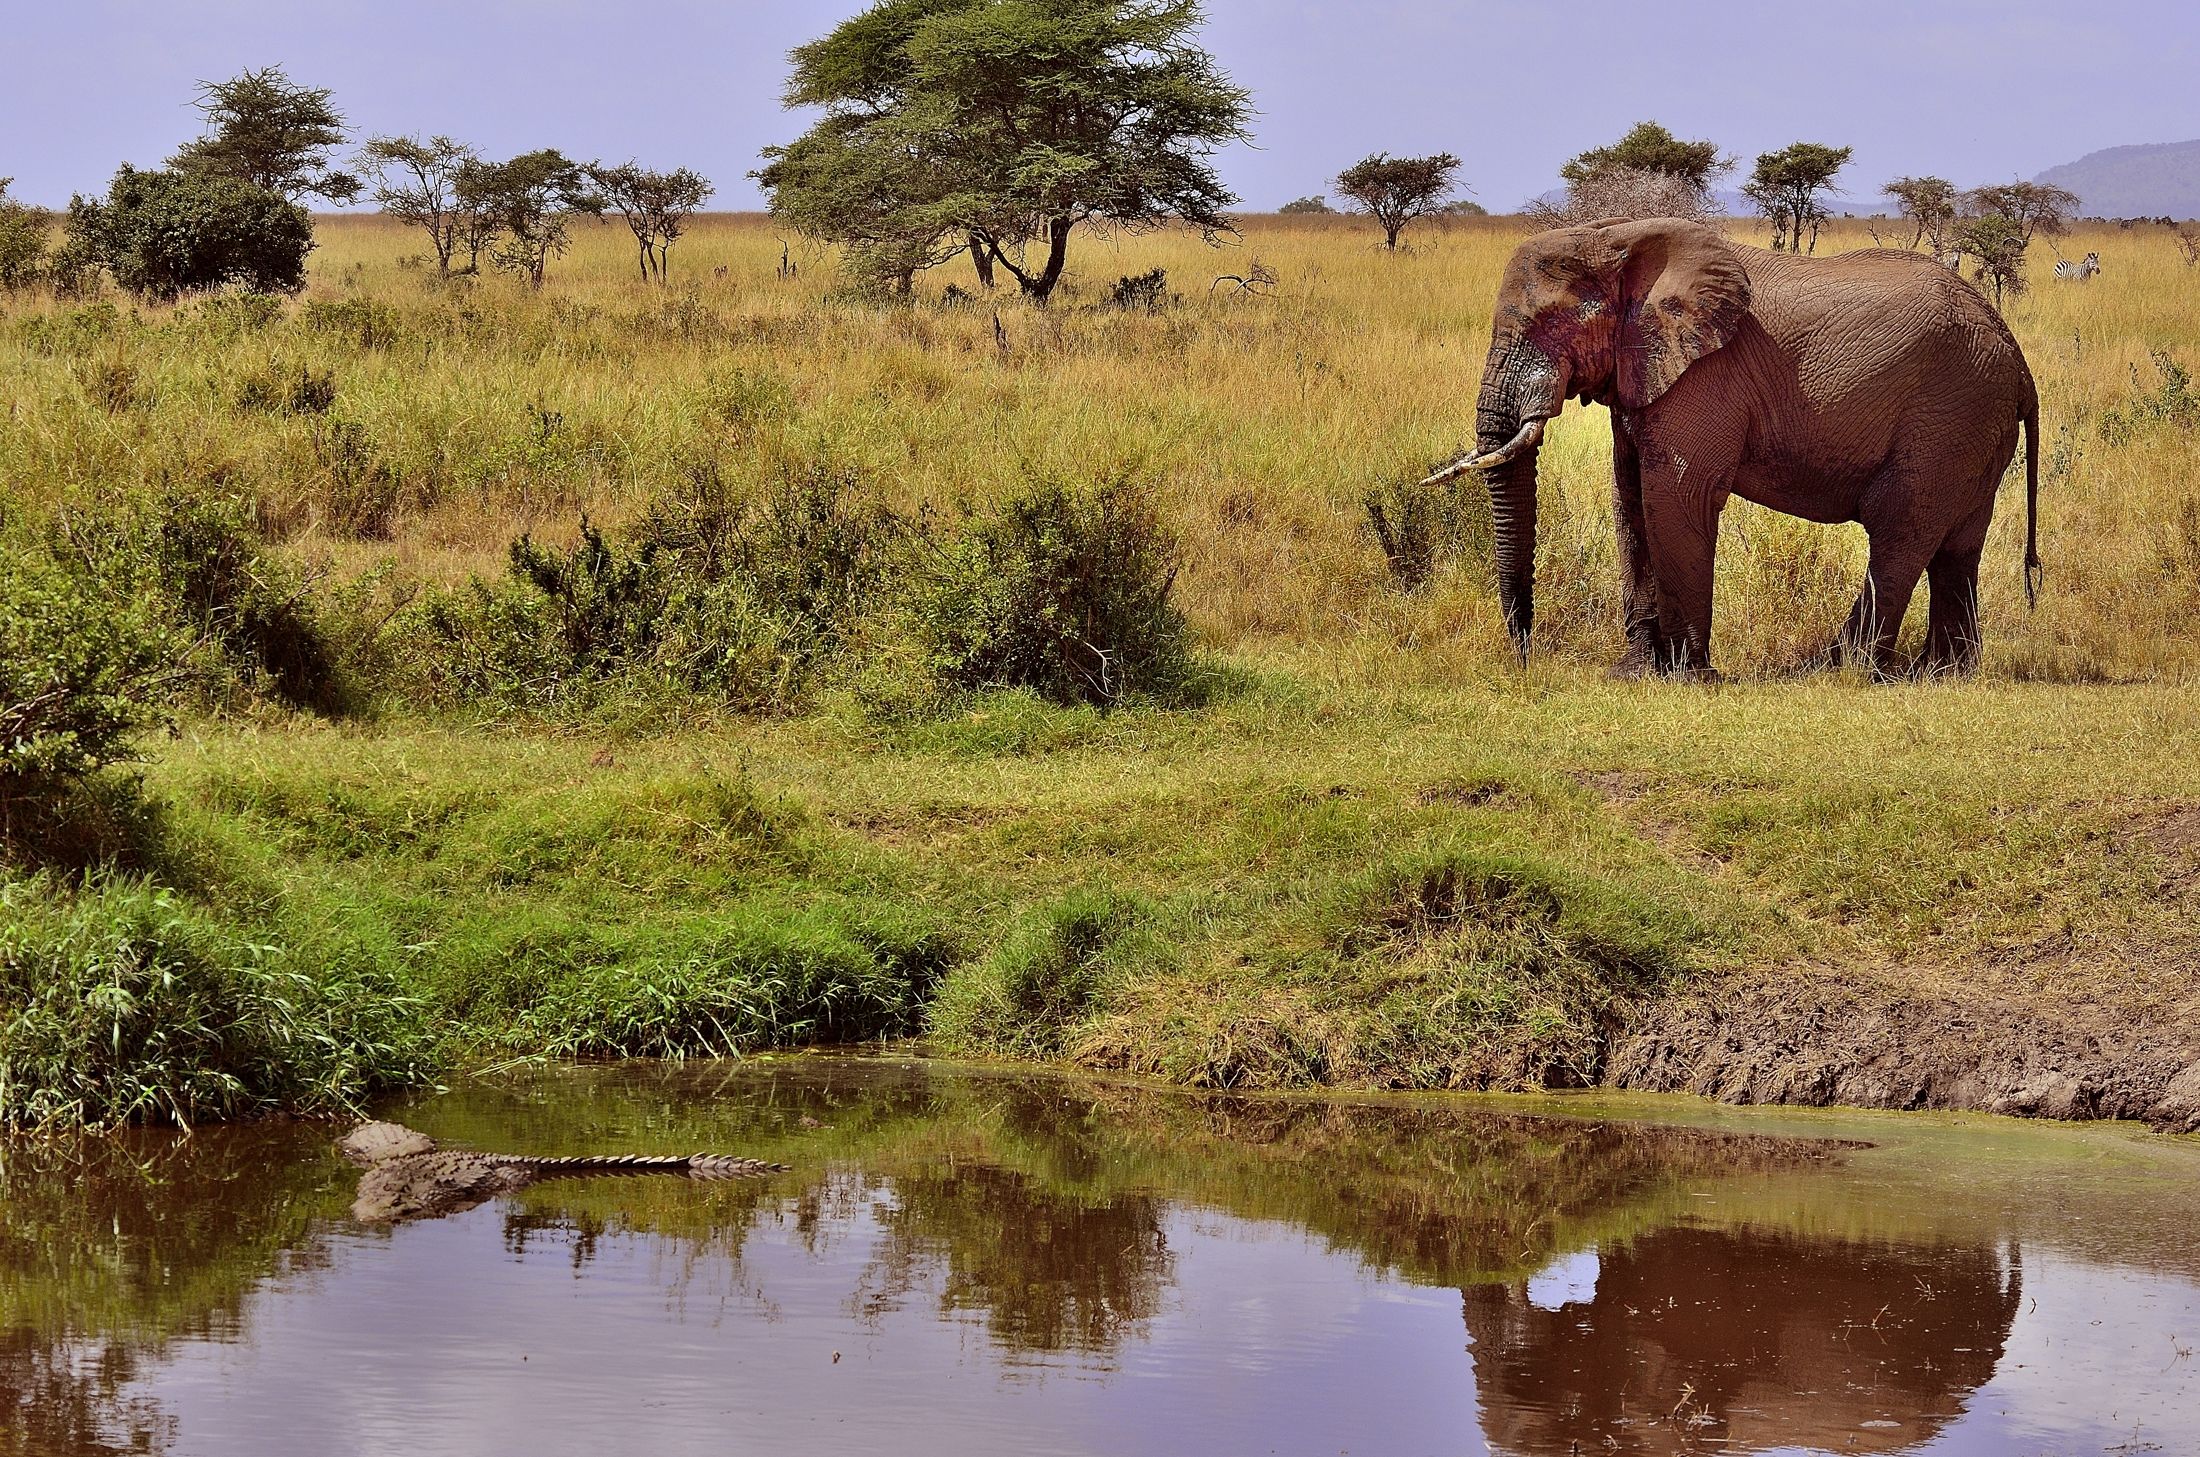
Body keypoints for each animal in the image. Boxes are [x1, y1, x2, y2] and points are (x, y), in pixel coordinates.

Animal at [1424, 217, 2041, 678]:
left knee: (1900, 529)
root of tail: (2015, 355)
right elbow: (1630, 497)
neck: (1616, 240)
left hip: (1948, 415)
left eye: (1547, 324)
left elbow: (1676, 495)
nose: (1525, 657)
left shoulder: (1705, 375)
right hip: (1972, 423)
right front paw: (1635, 672)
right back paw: (1943, 673)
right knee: (1956, 548)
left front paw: (1686, 675)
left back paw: (1840, 669)